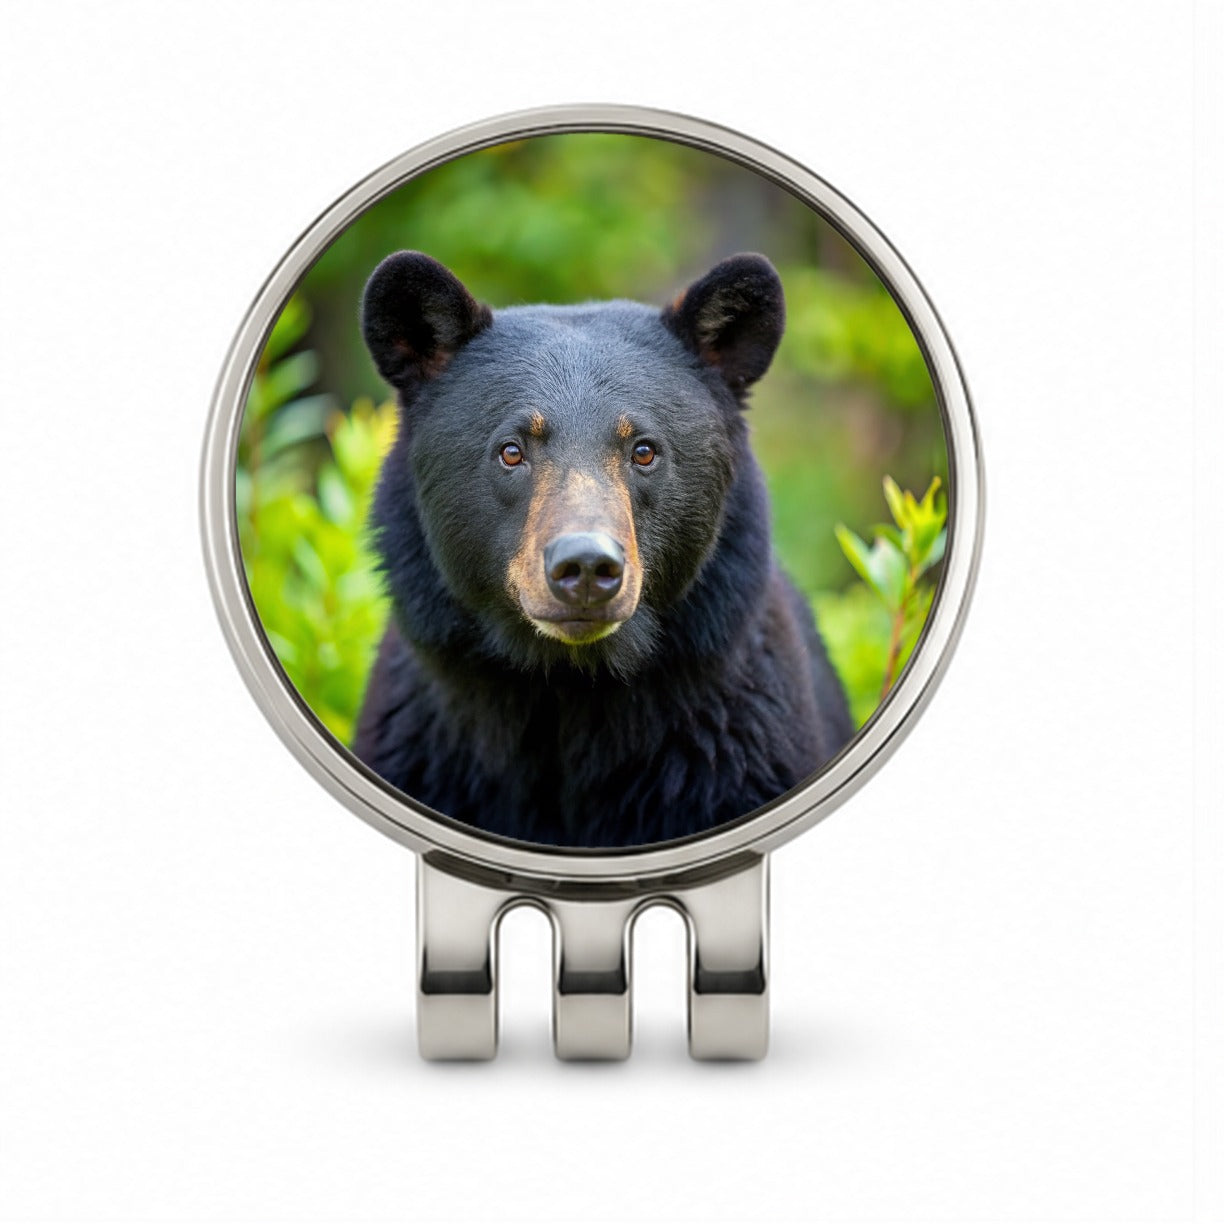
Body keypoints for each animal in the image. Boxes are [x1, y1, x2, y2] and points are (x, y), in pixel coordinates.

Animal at [352, 250, 853, 848]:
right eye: (511, 451)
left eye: (644, 450)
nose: (587, 566)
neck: (572, 688)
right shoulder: (427, 748)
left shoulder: (735, 751)